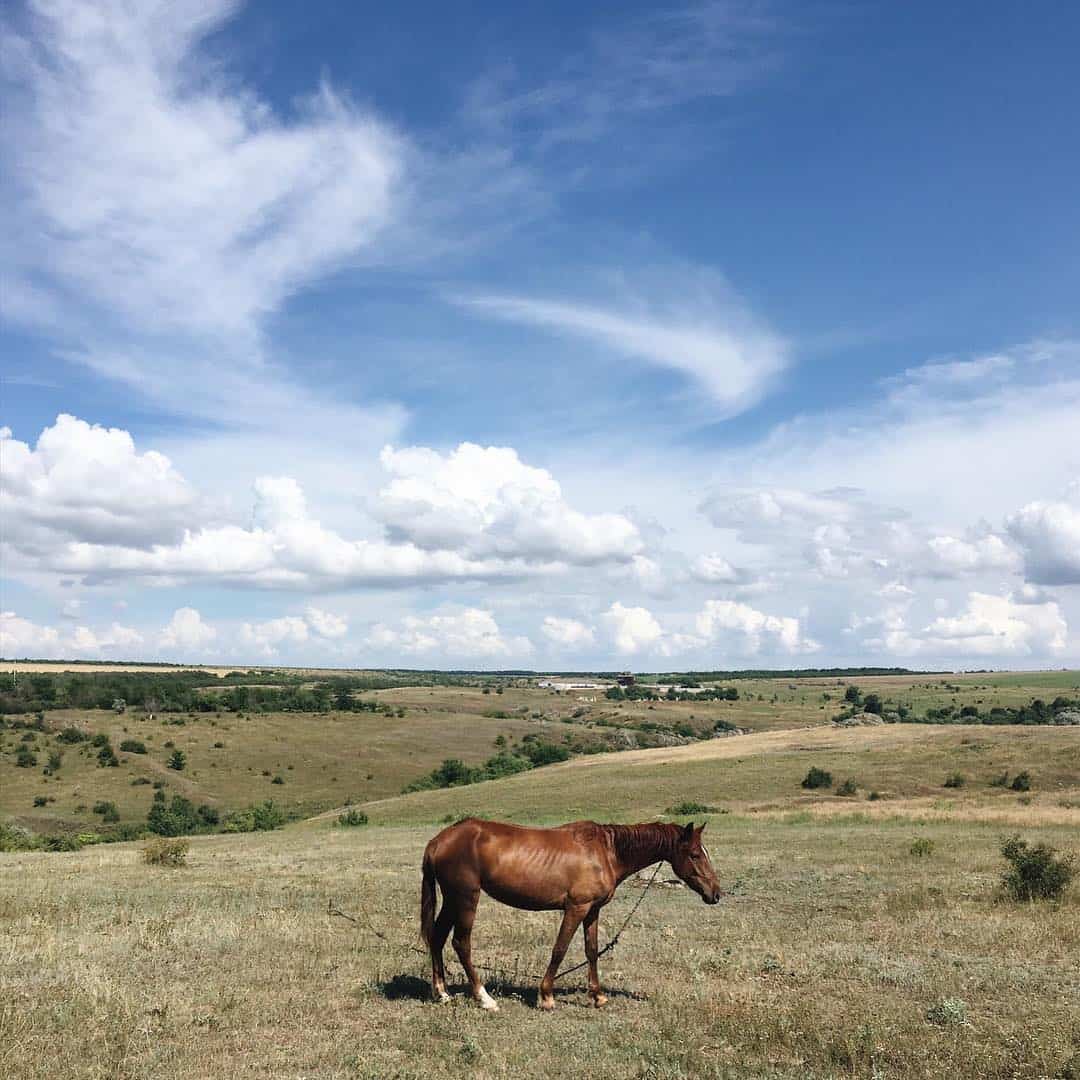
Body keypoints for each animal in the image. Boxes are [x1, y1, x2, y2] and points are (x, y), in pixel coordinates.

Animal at [420, 817, 722, 1011]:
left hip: (452, 900)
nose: (716, 893)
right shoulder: (576, 908)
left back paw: (442, 993)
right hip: (466, 898)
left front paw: (598, 996)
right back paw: (484, 999)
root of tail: (439, 841)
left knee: (437, 938)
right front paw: (546, 996)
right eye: (695, 854)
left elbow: (592, 950)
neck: (607, 851)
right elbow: (560, 949)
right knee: (461, 943)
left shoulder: (592, 910)